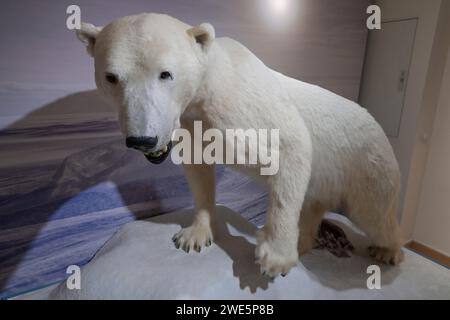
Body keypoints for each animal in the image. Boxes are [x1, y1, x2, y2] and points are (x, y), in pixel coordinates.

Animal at [76, 13, 404, 278]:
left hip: (366, 167)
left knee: (374, 216)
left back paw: (388, 251)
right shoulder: (192, 122)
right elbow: (199, 170)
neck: (208, 85)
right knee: (313, 204)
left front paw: (275, 256)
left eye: (165, 73)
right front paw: (195, 234)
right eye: (111, 77)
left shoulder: (242, 104)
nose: (142, 139)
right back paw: (304, 242)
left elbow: (291, 144)